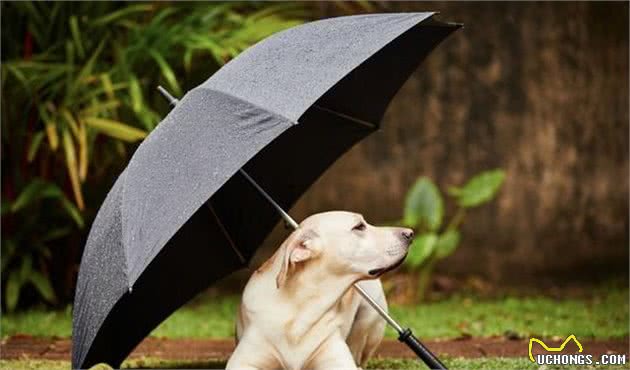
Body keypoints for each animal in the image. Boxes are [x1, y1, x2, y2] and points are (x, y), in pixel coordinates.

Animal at [227, 211, 414, 370]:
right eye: (359, 226)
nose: (410, 233)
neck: (300, 310)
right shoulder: (243, 362)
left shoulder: (338, 361)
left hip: (370, 319)